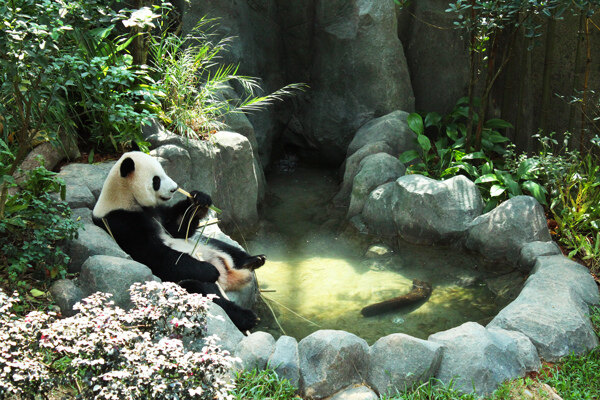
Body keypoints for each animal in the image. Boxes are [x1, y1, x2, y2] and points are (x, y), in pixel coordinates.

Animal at [91, 151, 264, 332]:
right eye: (156, 180)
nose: (174, 188)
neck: (124, 198)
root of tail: (227, 275)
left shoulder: (157, 212)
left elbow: (177, 228)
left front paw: (199, 201)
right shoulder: (121, 223)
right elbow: (156, 255)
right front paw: (208, 270)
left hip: (206, 244)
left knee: (224, 246)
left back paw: (253, 260)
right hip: (190, 279)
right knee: (205, 290)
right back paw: (246, 316)